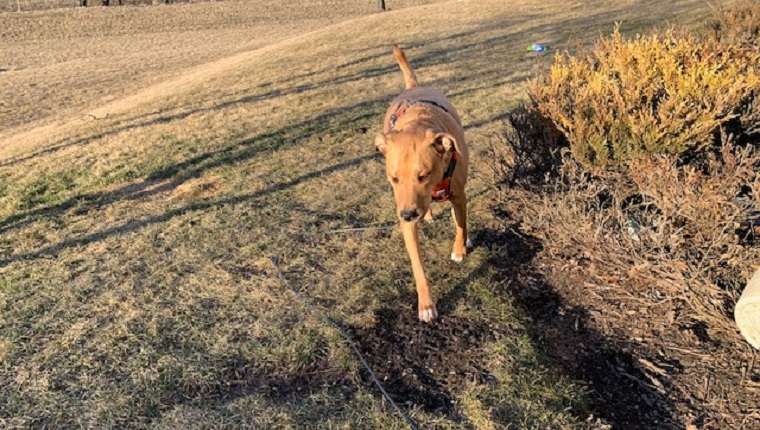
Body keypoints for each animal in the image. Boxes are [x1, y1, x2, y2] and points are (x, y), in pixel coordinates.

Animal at [374, 46, 470, 322]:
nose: (408, 213)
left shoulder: (458, 195)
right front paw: (426, 305)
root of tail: (413, 87)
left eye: (423, 175)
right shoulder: (406, 213)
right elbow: (417, 265)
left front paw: (460, 248)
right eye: (394, 178)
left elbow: (461, 224)